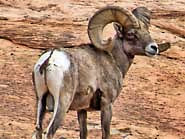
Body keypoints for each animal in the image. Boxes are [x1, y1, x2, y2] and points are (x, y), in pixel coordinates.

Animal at [32, 6, 159, 139]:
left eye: (147, 31)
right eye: (131, 34)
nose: (154, 48)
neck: (114, 60)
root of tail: (50, 58)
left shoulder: (82, 110)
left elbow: (84, 133)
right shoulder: (107, 104)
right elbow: (105, 133)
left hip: (40, 101)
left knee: (38, 130)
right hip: (62, 103)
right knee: (49, 132)